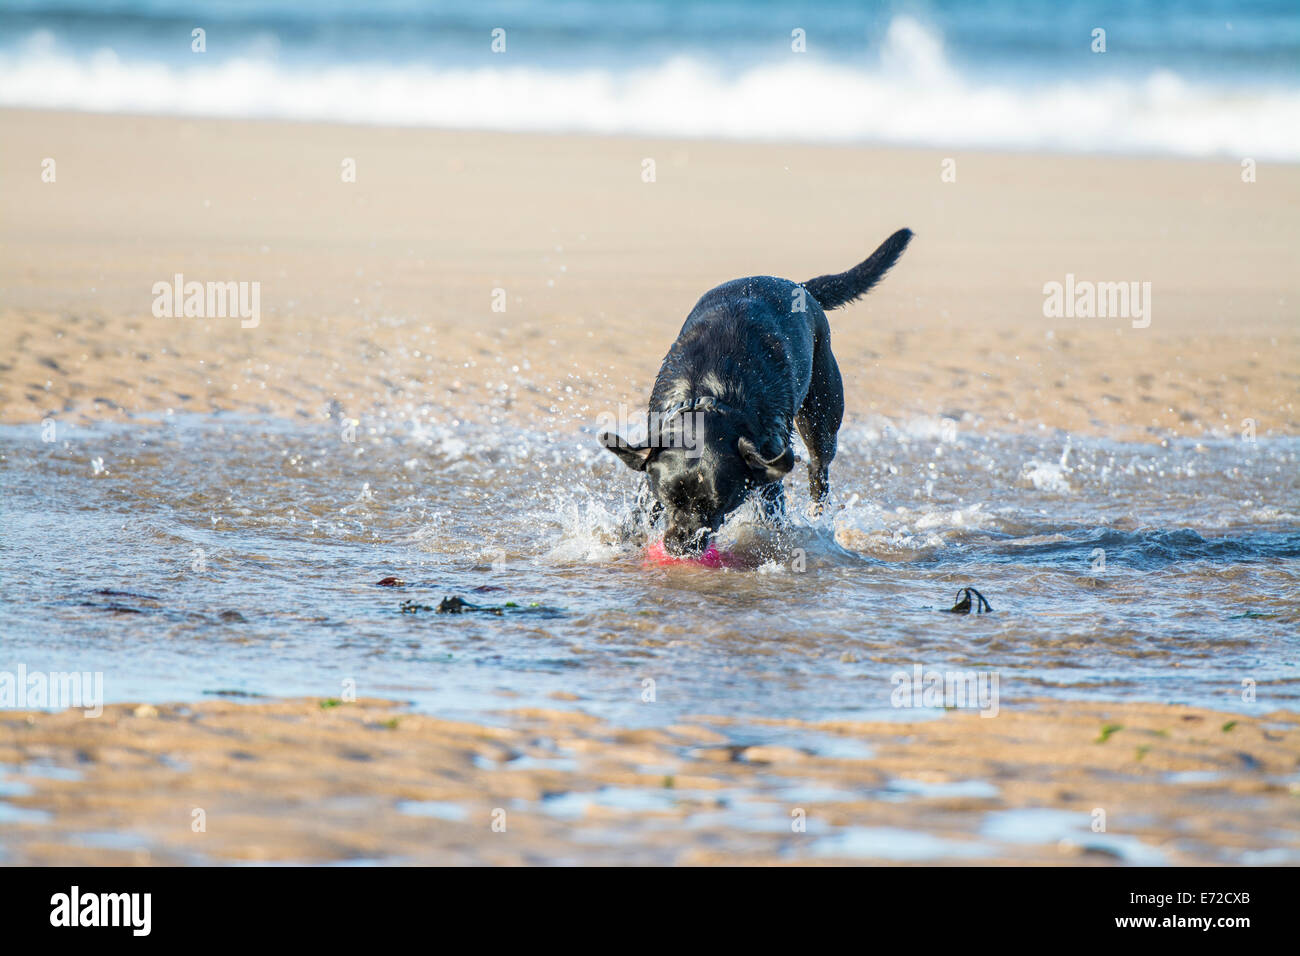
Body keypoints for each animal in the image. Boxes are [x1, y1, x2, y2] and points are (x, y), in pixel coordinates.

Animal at [600, 228, 915, 556]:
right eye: (669, 496)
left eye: (718, 504)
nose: (681, 546)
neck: (711, 392)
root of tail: (801, 286)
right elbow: (638, 514)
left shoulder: (769, 476)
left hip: (822, 421)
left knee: (819, 473)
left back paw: (818, 516)